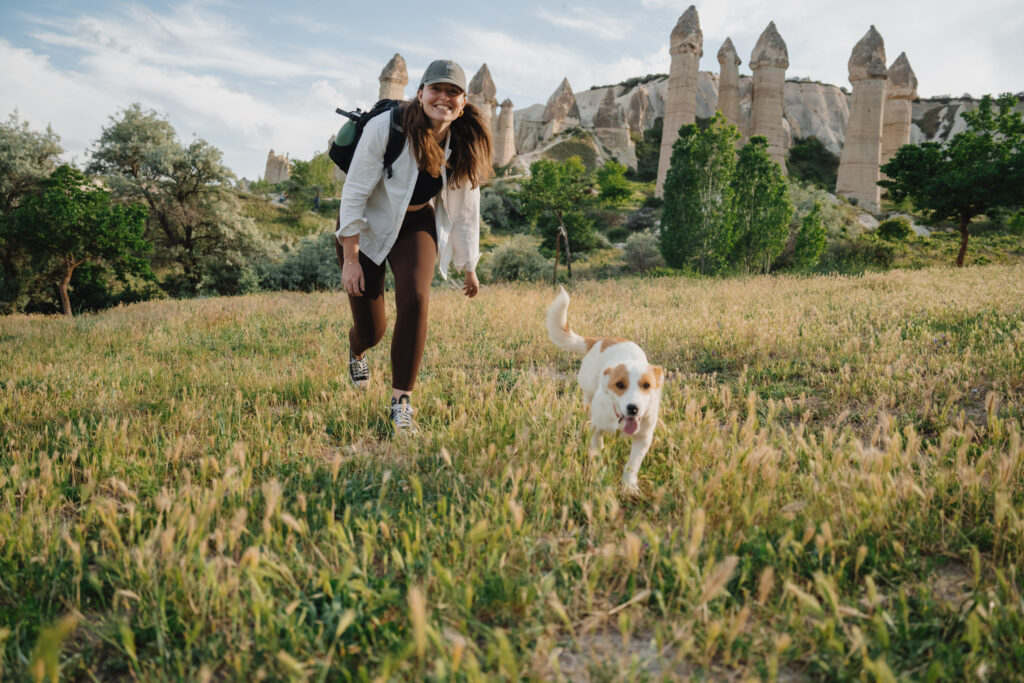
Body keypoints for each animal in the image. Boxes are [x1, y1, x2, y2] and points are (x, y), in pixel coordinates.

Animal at [544, 286, 663, 493]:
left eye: (646, 385)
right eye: (620, 385)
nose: (633, 408)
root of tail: (600, 340)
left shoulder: (643, 438)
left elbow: (632, 464)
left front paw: (629, 486)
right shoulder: (597, 429)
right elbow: (597, 453)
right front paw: (599, 476)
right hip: (588, 394)